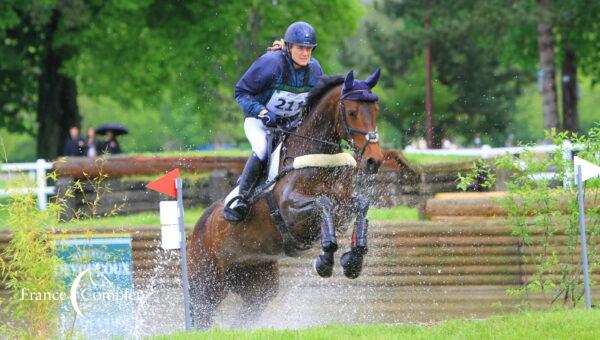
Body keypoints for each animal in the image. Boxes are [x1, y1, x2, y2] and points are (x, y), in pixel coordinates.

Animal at [188, 68, 384, 326]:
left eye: (376, 110)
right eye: (351, 112)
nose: (374, 161)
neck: (316, 155)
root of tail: (199, 226)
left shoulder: (345, 206)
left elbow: (361, 204)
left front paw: (353, 260)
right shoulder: (292, 213)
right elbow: (324, 203)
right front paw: (324, 261)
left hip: (257, 284)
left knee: (245, 315)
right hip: (207, 284)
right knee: (202, 314)